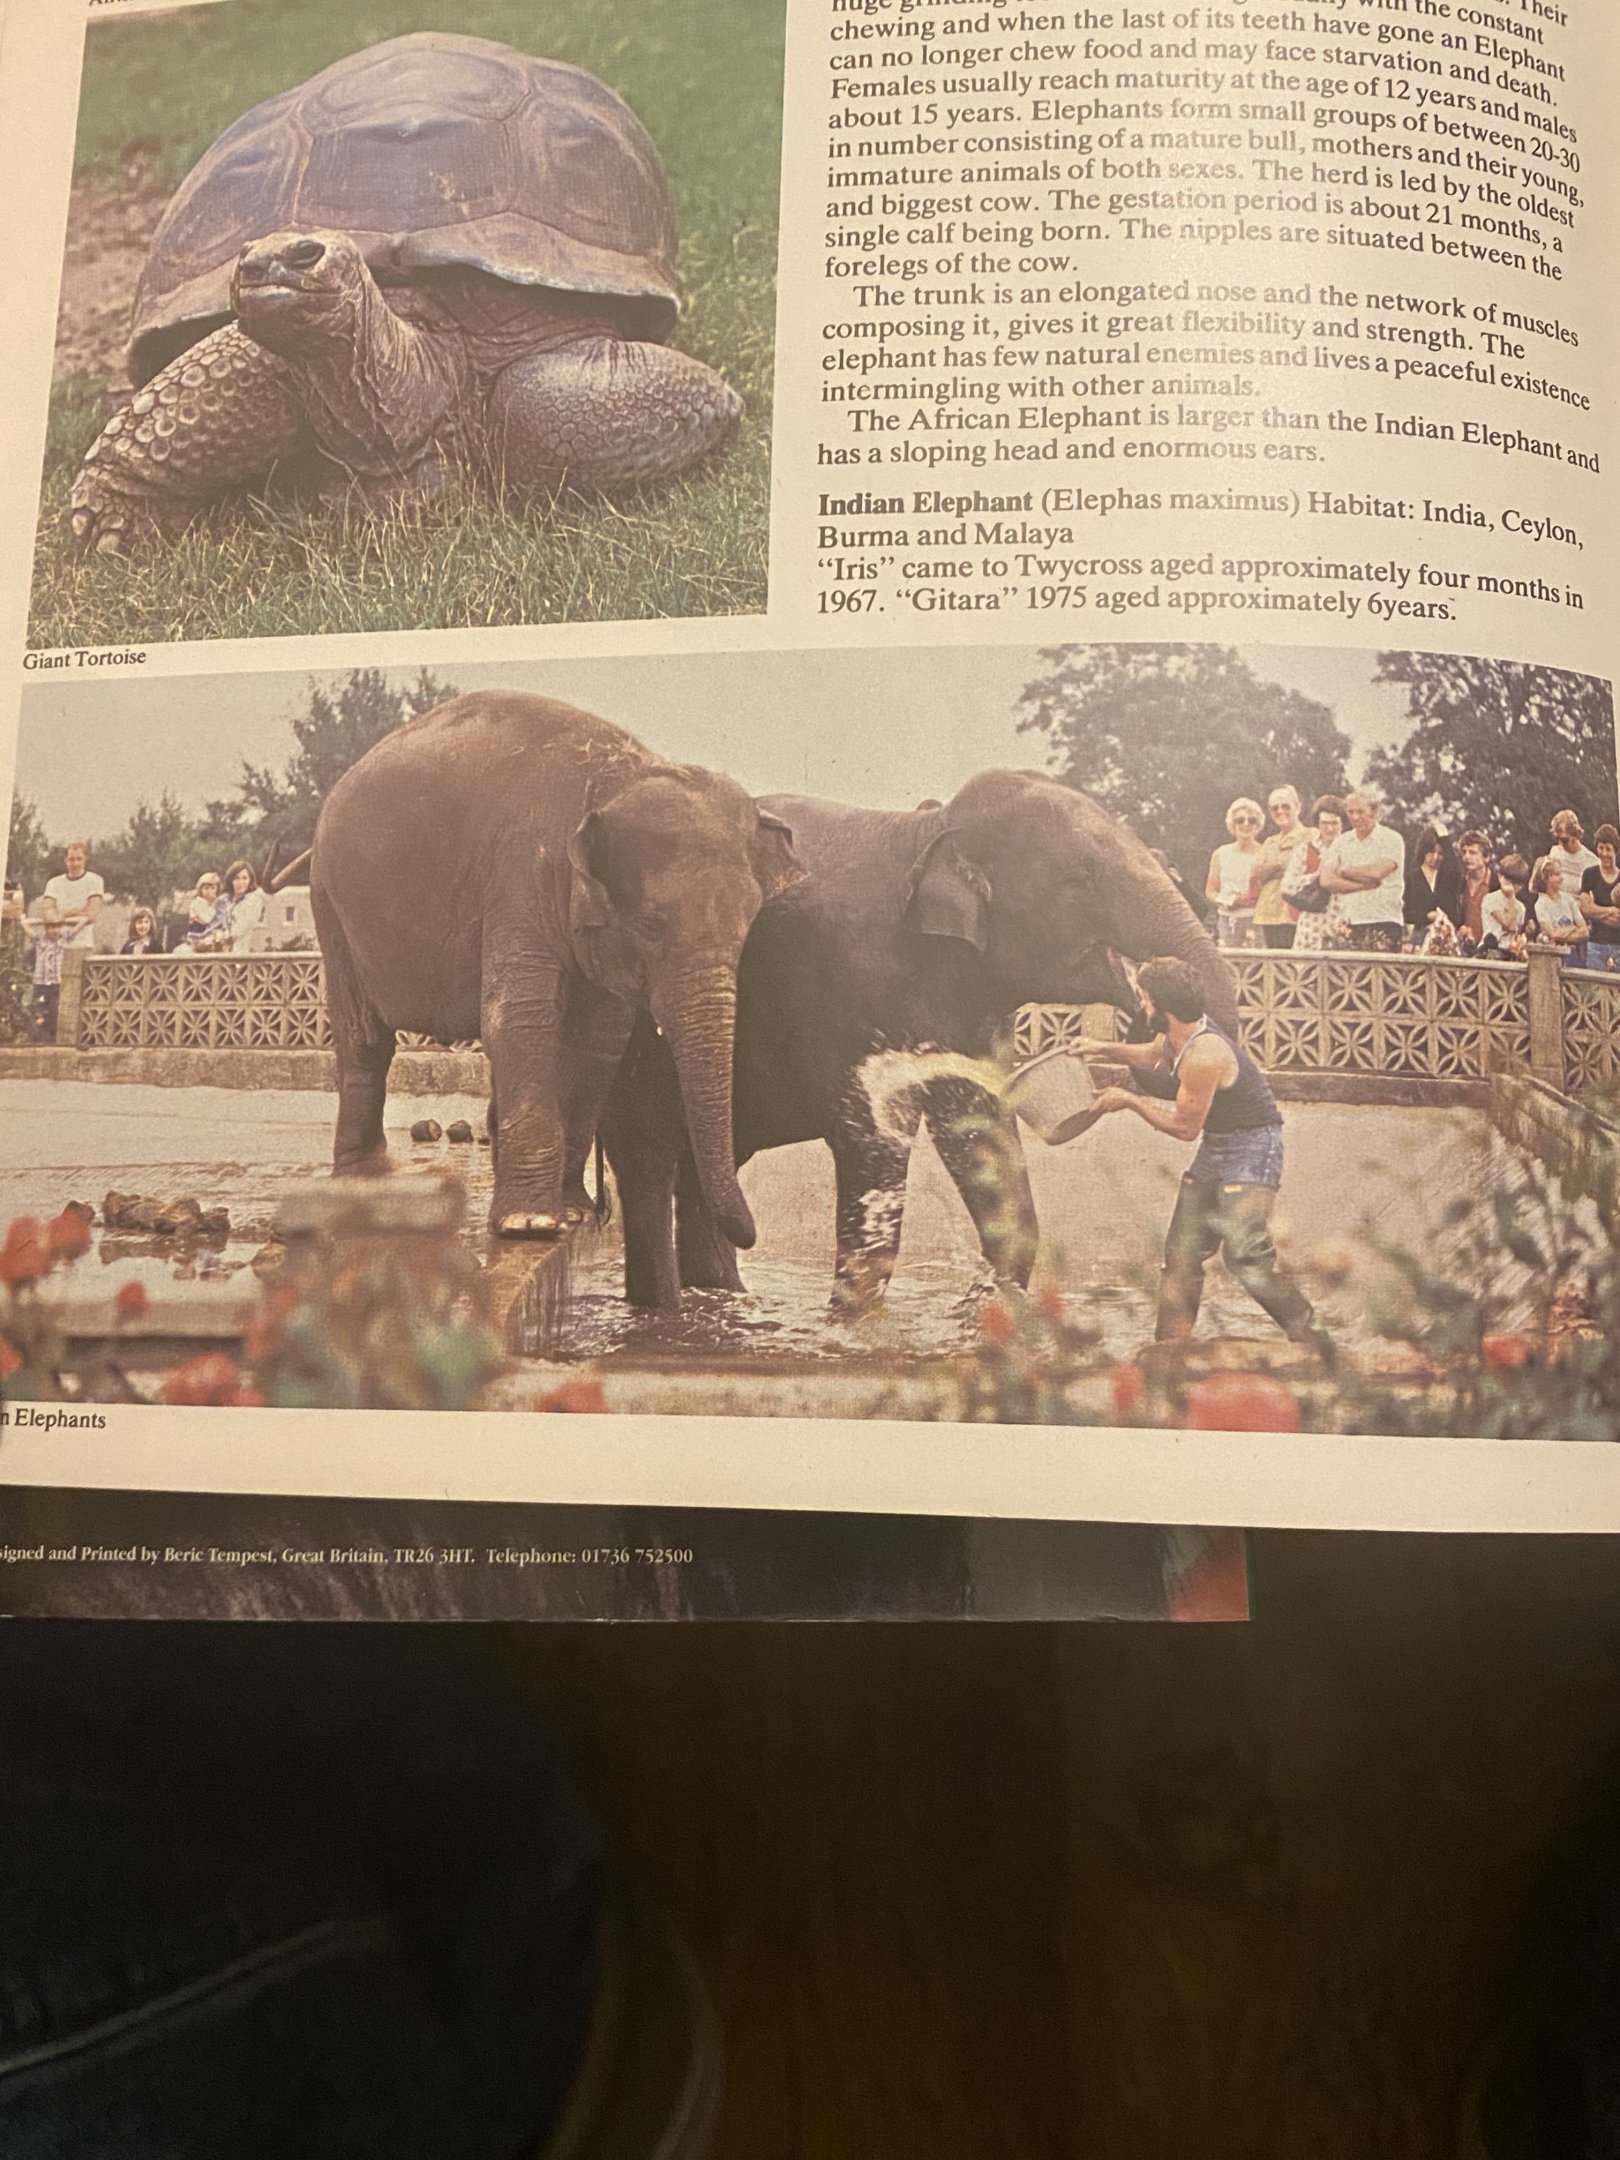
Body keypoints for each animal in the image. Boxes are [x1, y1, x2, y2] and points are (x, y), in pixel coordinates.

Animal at [310, 692, 801, 1240]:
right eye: (650, 925)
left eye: (749, 925)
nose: (748, 1234)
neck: (619, 774)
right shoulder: (523, 870)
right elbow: (520, 1017)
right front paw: (531, 1225)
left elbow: (597, 1040)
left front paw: (574, 1214)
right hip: (330, 902)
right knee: (365, 1039)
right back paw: (363, 1181)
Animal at [601, 768, 1237, 1312]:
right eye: (1080, 881)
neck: (931, 830)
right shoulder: (847, 988)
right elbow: (874, 1139)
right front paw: (855, 1322)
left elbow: (978, 1124)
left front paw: (987, 1308)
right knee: (649, 1160)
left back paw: (724, 1299)